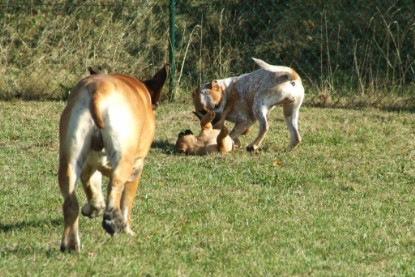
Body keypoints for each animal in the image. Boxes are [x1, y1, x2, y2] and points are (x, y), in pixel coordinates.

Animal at [57, 63, 170, 251]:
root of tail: (98, 91)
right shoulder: (137, 168)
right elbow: (126, 202)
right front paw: (127, 228)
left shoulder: (90, 165)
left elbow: (93, 190)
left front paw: (93, 209)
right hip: (125, 160)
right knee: (115, 185)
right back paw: (112, 220)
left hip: (70, 161)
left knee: (70, 203)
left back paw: (71, 244)